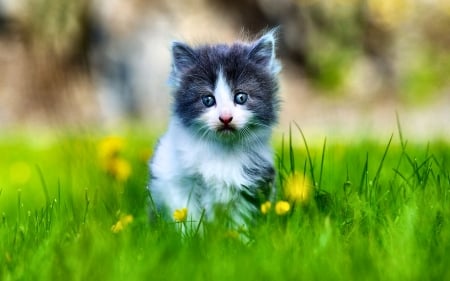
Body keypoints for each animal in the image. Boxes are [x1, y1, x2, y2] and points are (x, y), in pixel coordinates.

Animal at [148, 29, 282, 226]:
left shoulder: (251, 185)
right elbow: (186, 214)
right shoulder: (175, 179)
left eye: (241, 97)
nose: (225, 117)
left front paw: (237, 235)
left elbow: (239, 221)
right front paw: (191, 234)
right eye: (208, 100)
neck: (221, 150)